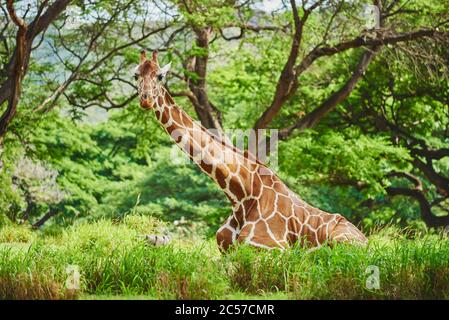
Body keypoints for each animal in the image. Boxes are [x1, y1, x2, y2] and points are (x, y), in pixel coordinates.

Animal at [135, 50, 366, 250]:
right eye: (136, 75)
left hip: (341, 242)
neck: (242, 196)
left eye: (160, 76)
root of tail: (365, 239)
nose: (146, 100)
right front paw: (154, 238)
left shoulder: (270, 248)